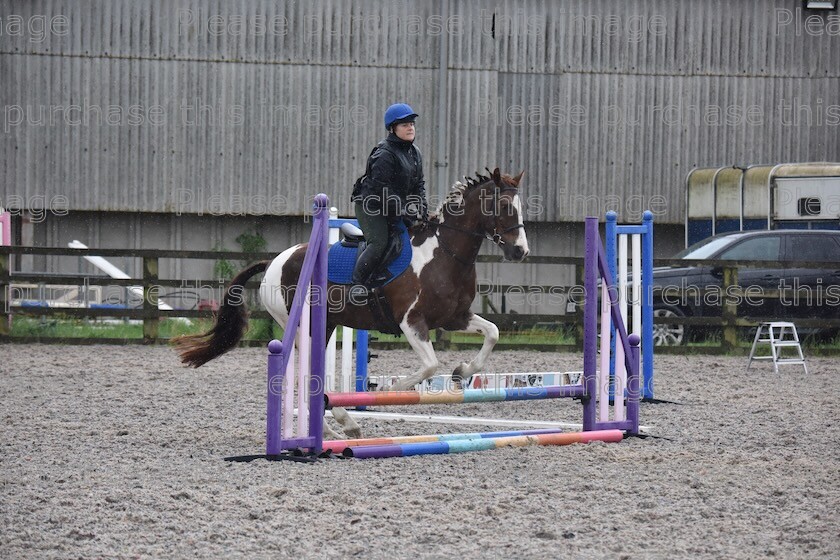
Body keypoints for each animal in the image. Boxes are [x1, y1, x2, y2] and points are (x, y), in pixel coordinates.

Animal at [174, 168, 528, 440]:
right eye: (504, 205)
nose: (521, 252)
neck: (444, 254)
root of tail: (276, 260)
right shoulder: (412, 322)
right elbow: (429, 365)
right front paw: (388, 392)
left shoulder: (455, 317)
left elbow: (492, 332)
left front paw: (461, 371)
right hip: (304, 326)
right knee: (308, 374)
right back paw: (337, 426)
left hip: (326, 325)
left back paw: (338, 426)